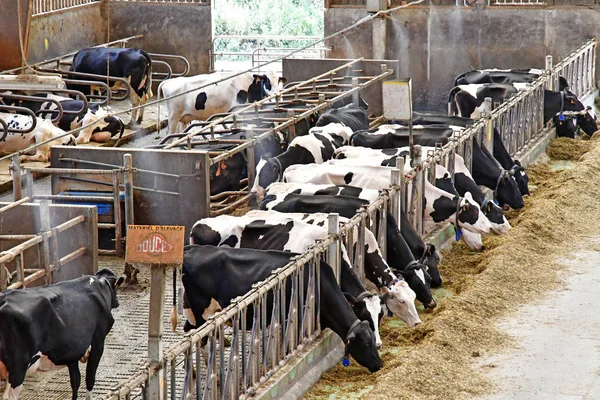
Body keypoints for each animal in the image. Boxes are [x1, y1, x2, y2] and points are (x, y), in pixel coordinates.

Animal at [0, 268, 123, 400]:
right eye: (116, 288)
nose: (117, 302)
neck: (100, 285)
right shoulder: (98, 342)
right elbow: (90, 378)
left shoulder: (72, 351)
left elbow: (75, 381)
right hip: (18, 368)